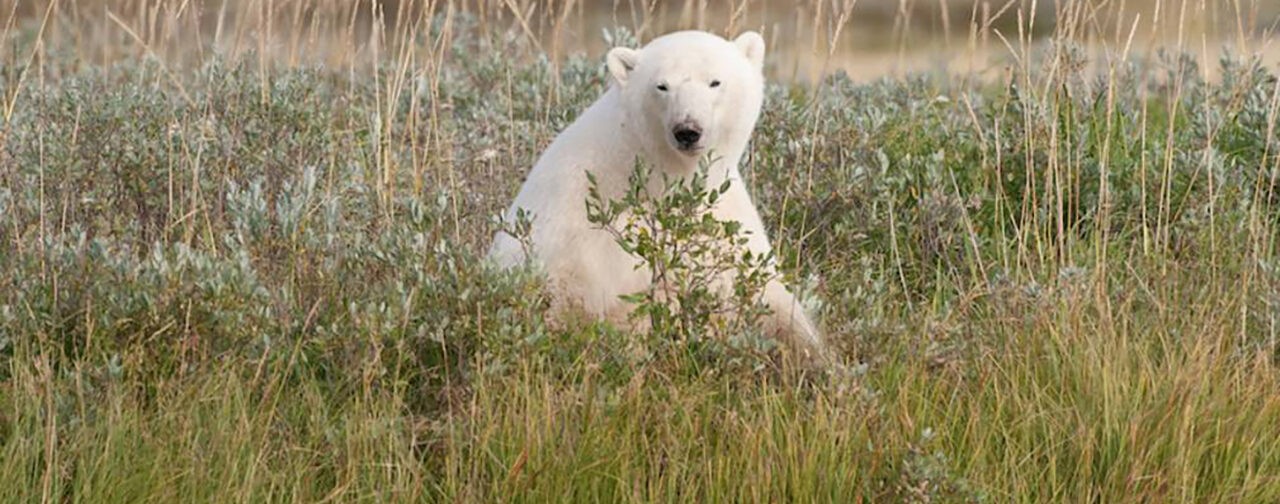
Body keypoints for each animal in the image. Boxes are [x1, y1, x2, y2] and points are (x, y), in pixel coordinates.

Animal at [483, 30, 824, 363]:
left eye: (715, 81)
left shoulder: (725, 217)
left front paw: (812, 355)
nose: (687, 130)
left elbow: (769, 295)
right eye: (662, 86)